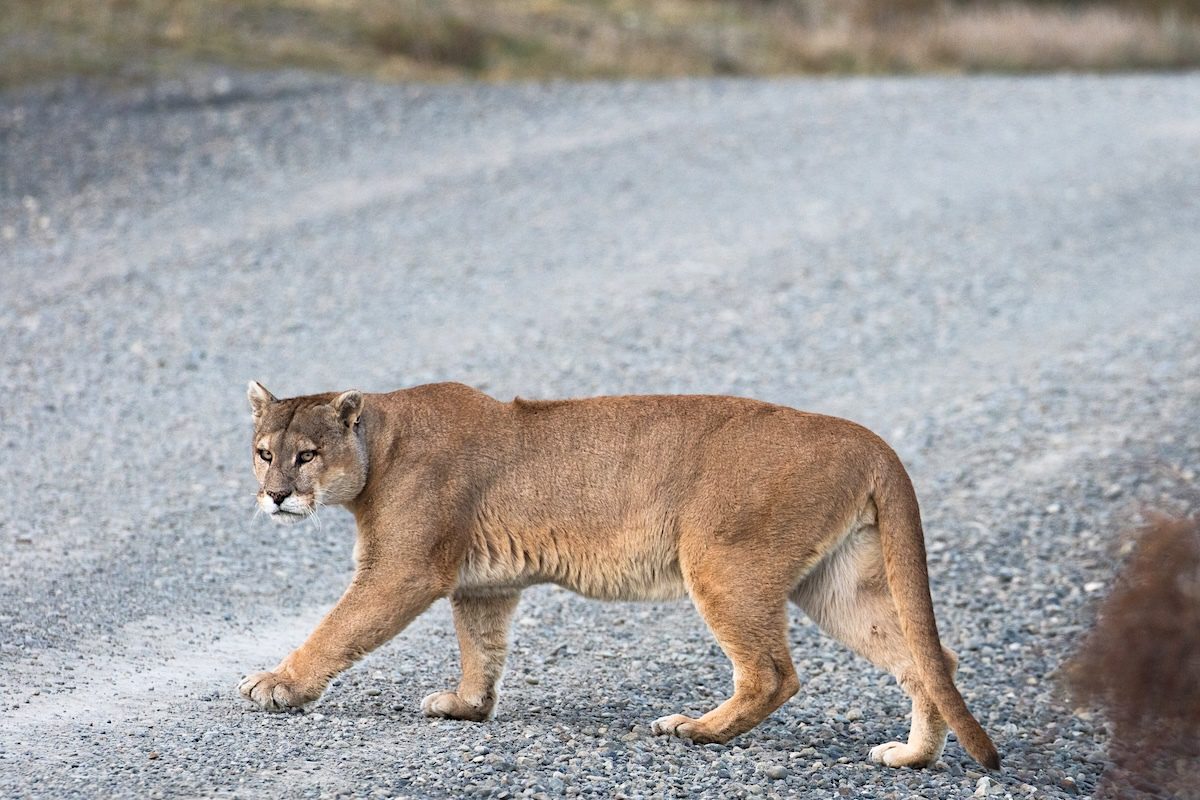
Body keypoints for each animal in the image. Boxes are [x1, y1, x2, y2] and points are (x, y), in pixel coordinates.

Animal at [238, 381, 999, 769]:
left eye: (306, 455)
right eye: (264, 452)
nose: (274, 495)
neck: (380, 441)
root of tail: (867, 438)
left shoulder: (403, 569)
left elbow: (338, 629)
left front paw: (278, 684)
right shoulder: (485, 584)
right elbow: (481, 649)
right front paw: (466, 706)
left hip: (720, 561)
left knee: (773, 673)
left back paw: (695, 729)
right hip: (836, 584)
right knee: (933, 658)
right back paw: (911, 756)